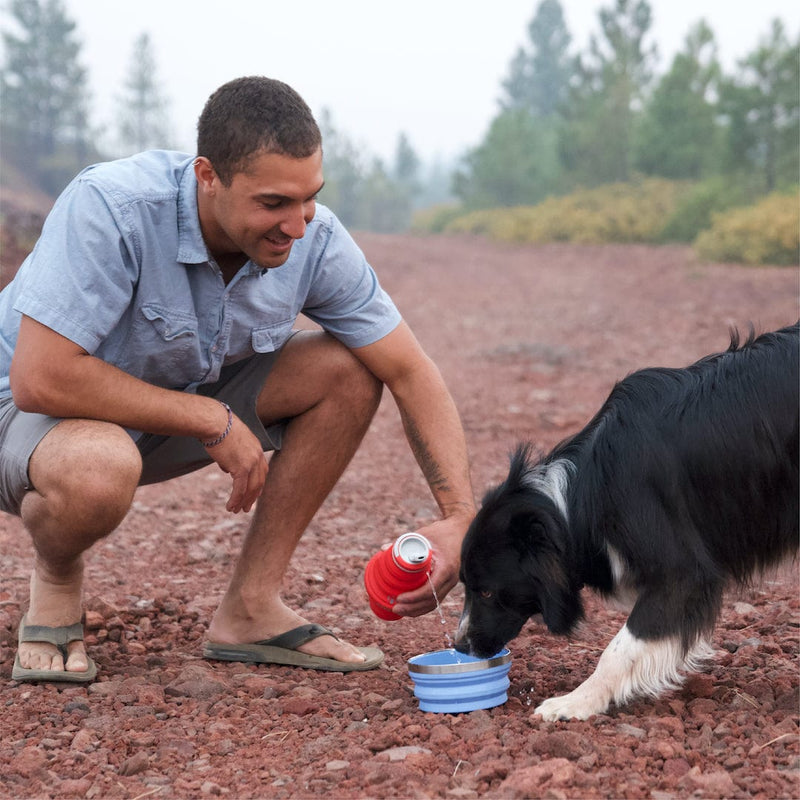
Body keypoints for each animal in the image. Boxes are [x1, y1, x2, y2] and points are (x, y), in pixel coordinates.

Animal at [460, 322, 796, 720]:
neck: (578, 498)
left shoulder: (680, 567)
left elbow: (621, 647)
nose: (460, 646)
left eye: (486, 591)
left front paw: (572, 703)